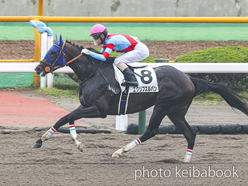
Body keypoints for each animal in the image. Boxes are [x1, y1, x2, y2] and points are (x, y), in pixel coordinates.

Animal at [34, 35, 248, 163]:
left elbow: (67, 117)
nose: (37, 68)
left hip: (163, 106)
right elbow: (66, 118)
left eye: (53, 52)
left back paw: (120, 151)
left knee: (151, 131)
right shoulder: (85, 105)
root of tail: (189, 79)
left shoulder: (100, 110)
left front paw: (58, 141)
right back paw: (186, 160)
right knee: (190, 133)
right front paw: (57, 142)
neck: (92, 73)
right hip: (176, 111)